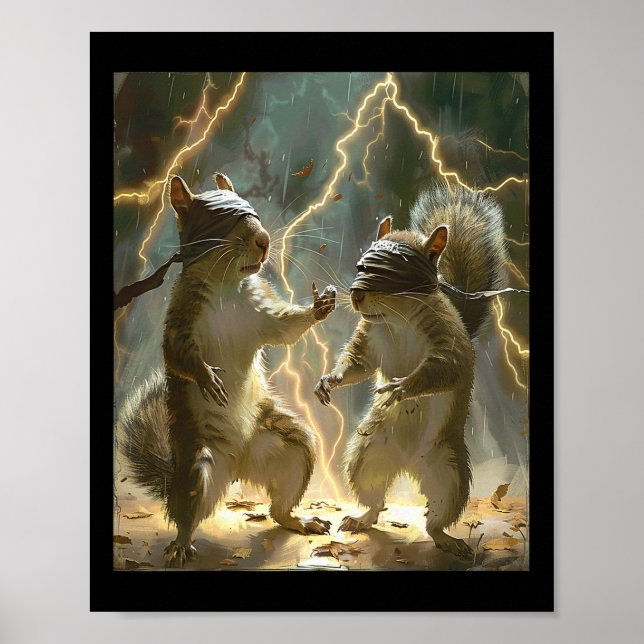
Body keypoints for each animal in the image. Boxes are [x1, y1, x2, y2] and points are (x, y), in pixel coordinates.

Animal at [117, 172, 337, 567]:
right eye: (219, 219)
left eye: (253, 213)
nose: (264, 241)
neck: (227, 287)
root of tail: (238, 466)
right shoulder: (181, 320)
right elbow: (178, 355)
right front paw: (208, 378)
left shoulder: (261, 314)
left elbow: (286, 329)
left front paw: (319, 306)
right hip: (196, 467)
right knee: (185, 515)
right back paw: (181, 546)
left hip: (292, 448)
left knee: (278, 508)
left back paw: (300, 521)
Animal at [314, 183, 508, 557]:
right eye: (361, 265)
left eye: (395, 272)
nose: (356, 294)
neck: (396, 316)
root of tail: (407, 465)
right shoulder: (369, 337)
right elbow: (358, 363)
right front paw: (330, 379)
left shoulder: (448, 337)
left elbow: (448, 368)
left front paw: (401, 387)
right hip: (367, 457)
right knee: (375, 499)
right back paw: (361, 519)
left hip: (449, 470)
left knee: (436, 517)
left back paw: (446, 539)